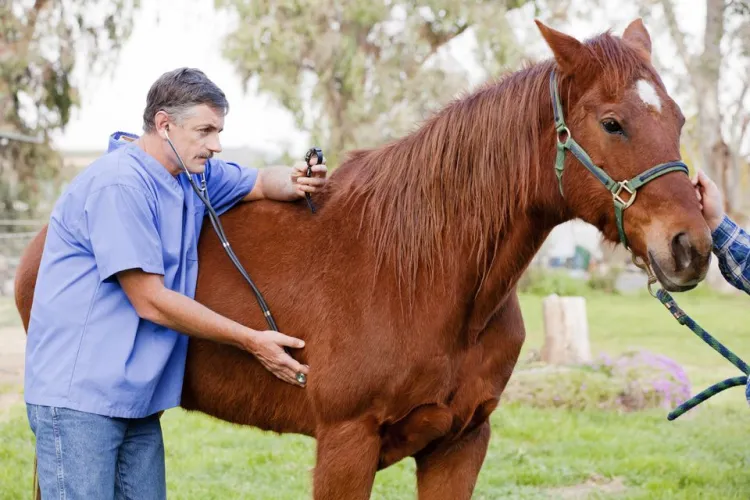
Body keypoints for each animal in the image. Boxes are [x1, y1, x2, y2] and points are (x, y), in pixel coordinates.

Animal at [14, 19, 712, 499]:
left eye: (679, 118)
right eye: (613, 123)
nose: (692, 247)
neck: (420, 275)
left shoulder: (460, 444)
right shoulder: (346, 446)